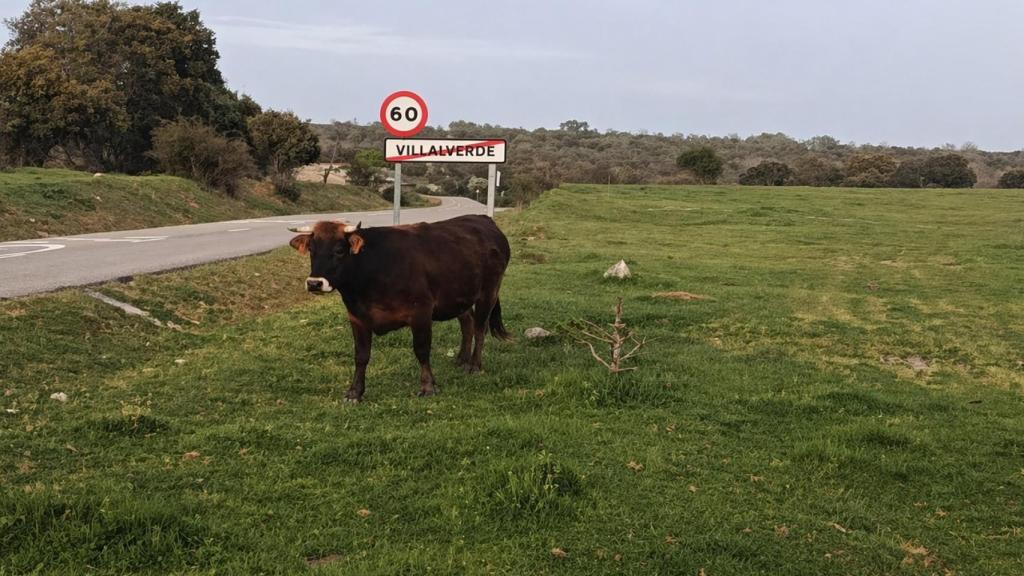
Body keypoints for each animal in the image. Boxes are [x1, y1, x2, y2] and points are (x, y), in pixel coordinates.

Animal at [288, 215, 511, 402]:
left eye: (339, 250)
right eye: (312, 250)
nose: (314, 283)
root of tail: (484, 220)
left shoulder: (421, 311)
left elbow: (421, 349)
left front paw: (428, 386)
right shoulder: (357, 317)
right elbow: (361, 356)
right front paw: (355, 392)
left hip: (489, 291)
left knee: (480, 328)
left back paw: (474, 365)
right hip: (458, 296)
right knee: (467, 322)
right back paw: (461, 359)